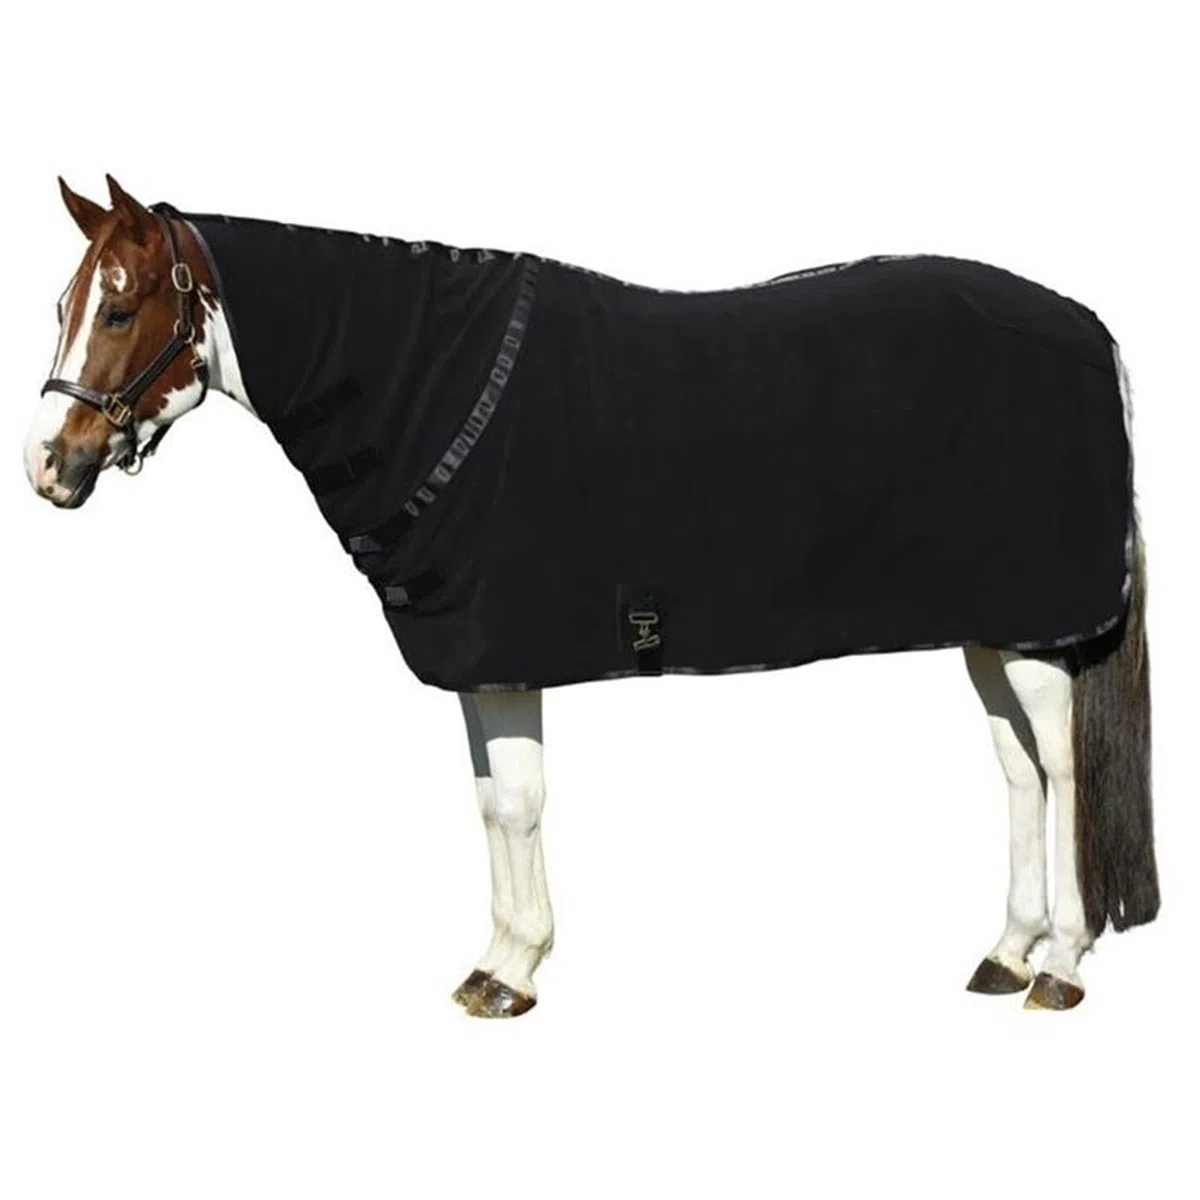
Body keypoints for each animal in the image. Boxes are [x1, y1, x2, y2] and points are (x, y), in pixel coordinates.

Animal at [26, 176, 1159, 1016]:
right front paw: (499, 961)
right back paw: (1005, 954)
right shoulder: (483, 659)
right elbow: (493, 802)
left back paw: (1059, 967)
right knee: (1018, 770)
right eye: (64, 308)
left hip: (1034, 630)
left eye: (120, 307)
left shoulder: (506, 654)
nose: (49, 466)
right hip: (993, 626)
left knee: (1063, 766)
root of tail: (1090, 331)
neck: (426, 382)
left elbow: (520, 802)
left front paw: (512, 972)